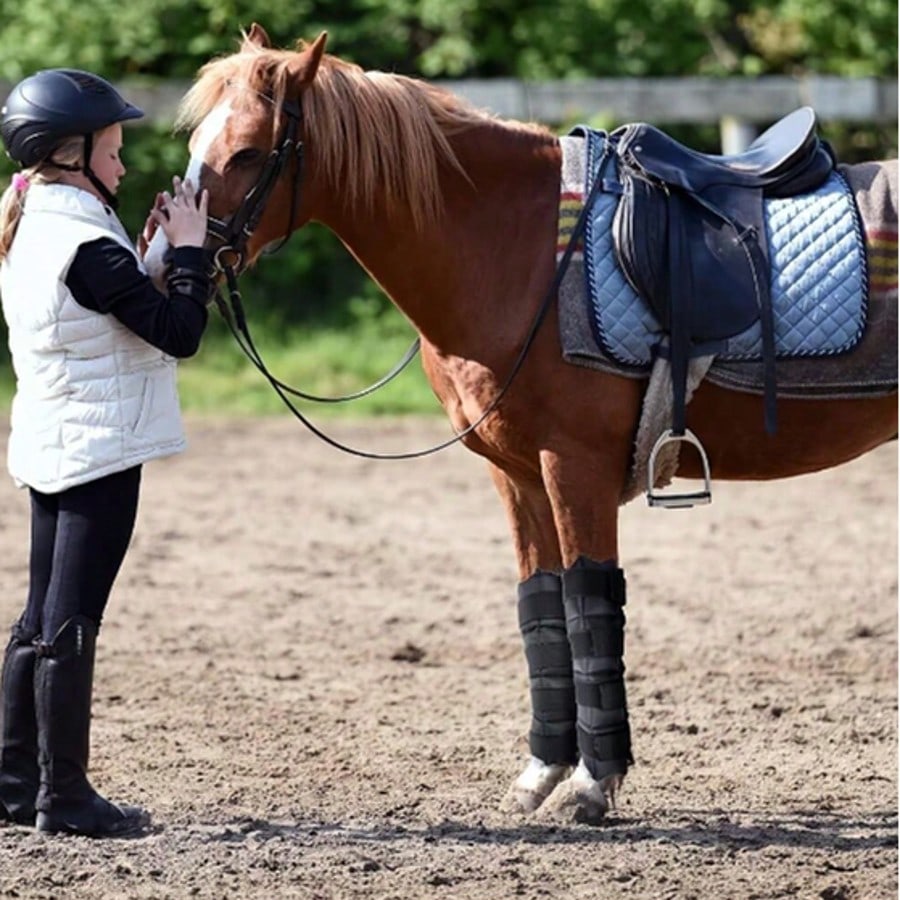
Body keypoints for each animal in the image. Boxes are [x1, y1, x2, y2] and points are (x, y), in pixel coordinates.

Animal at [145, 25, 898, 824]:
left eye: (248, 152)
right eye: (198, 140)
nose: (161, 263)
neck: (517, 250)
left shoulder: (575, 467)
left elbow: (589, 603)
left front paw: (592, 784)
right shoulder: (516, 475)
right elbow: (542, 610)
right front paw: (542, 772)